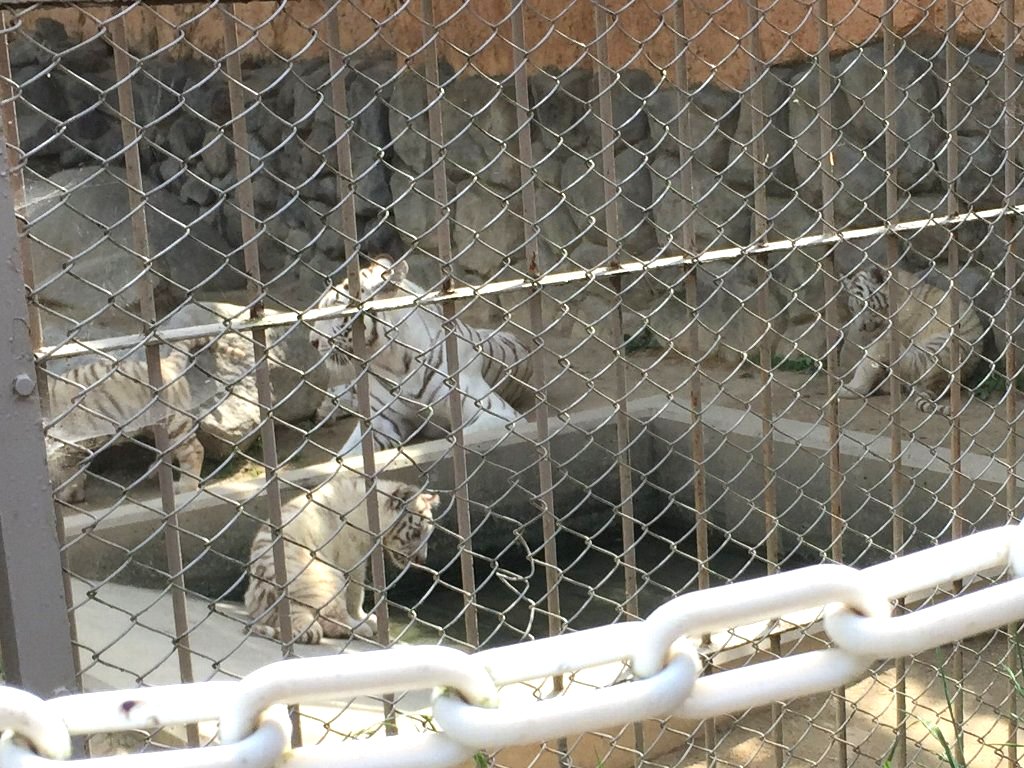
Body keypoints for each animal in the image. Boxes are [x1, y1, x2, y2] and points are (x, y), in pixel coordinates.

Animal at [248, 475, 444, 643]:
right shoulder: (353, 559)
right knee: (330, 618)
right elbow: (357, 593)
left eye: (428, 534)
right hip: (328, 579)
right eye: (416, 533)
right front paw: (362, 617)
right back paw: (362, 627)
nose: (422, 559)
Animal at [309, 257, 536, 456]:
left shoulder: (496, 413)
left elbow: (458, 440)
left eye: (335, 310)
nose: (312, 341)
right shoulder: (380, 421)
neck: (392, 360)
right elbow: (347, 456)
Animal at [839, 266, 983, 421]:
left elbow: (867, 364)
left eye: (865, 306)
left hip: (938, 347)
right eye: (852, 309)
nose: (860, 328)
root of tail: (940, 383)